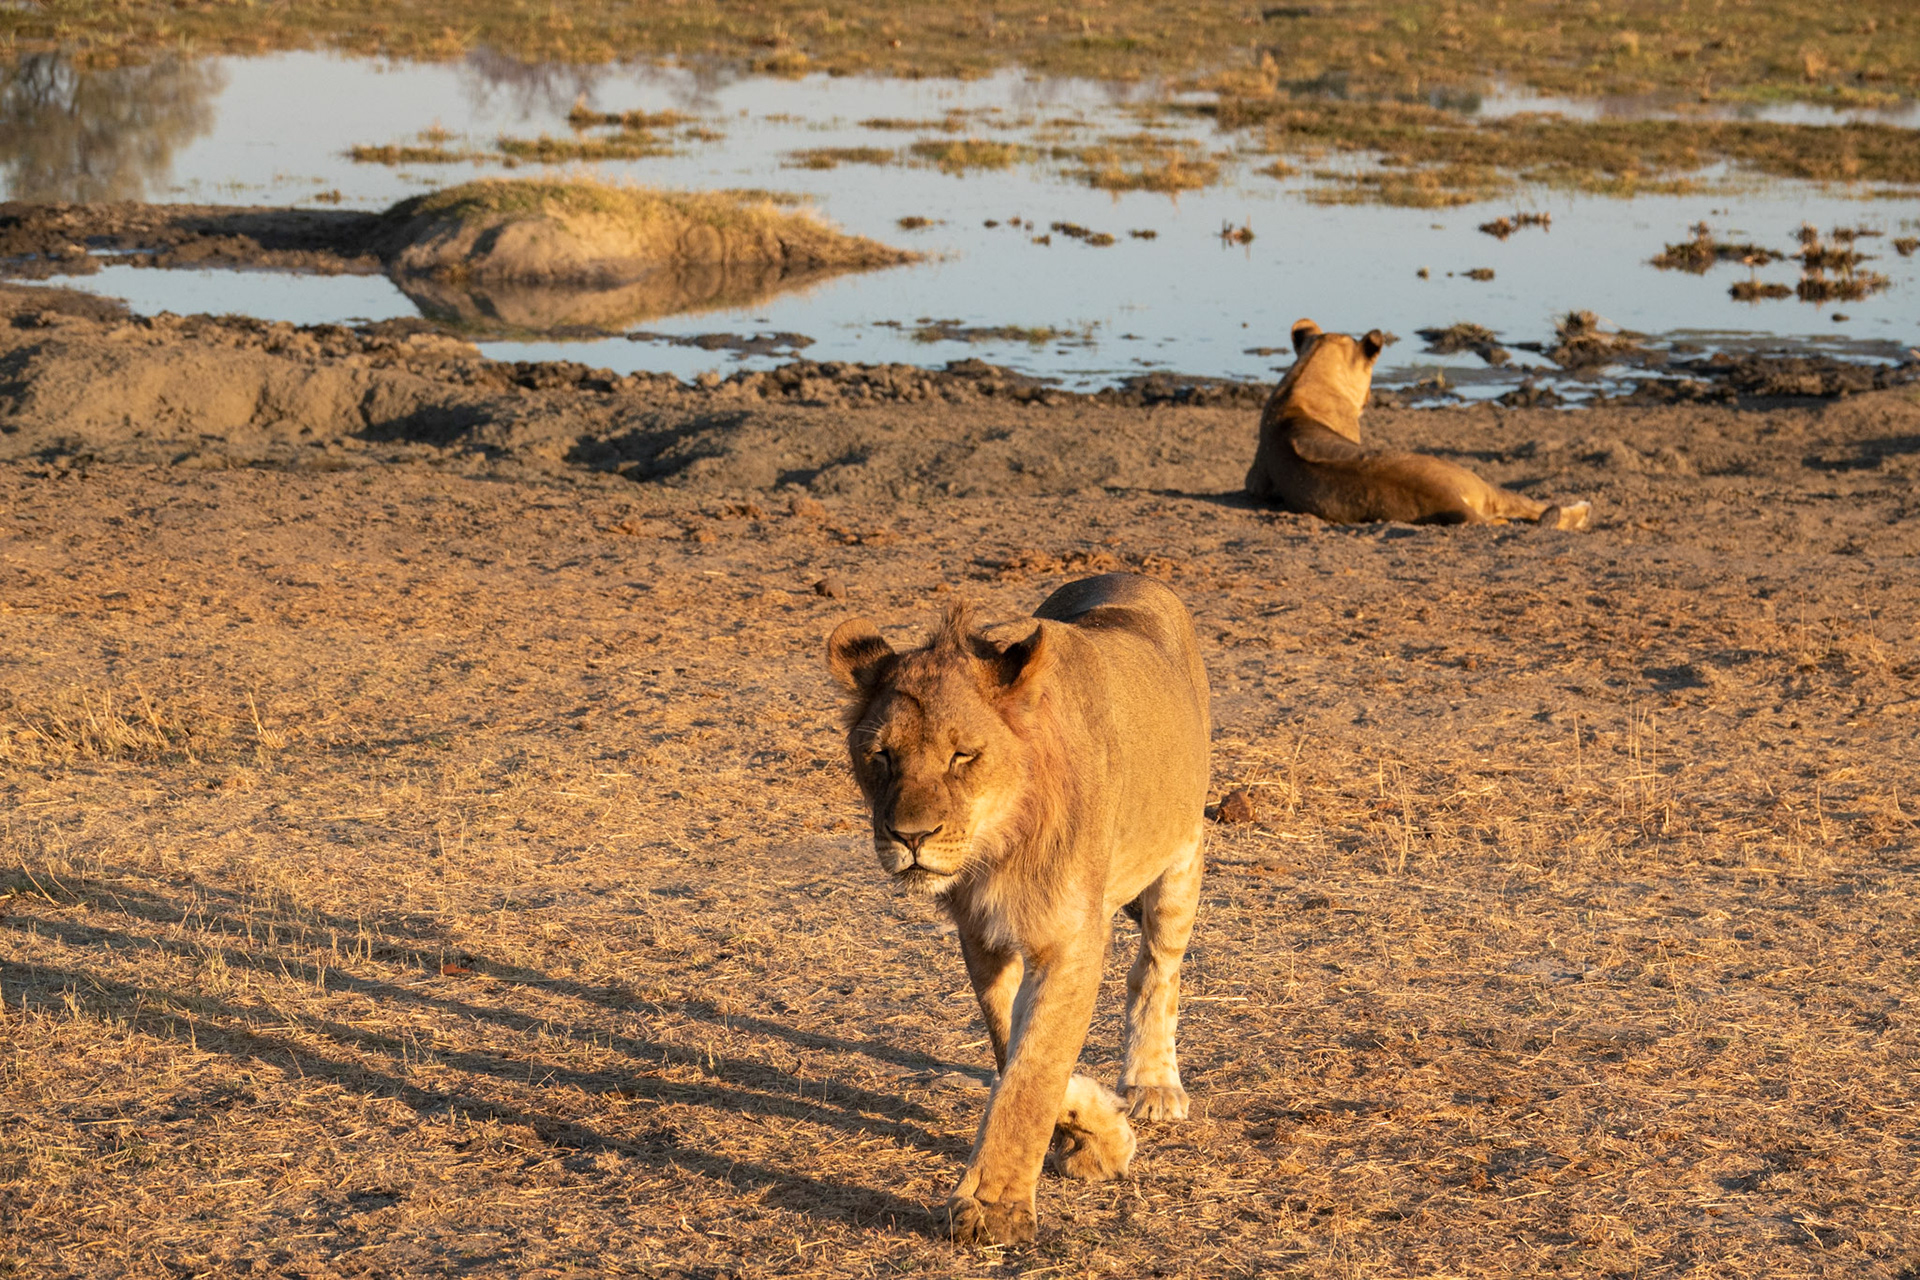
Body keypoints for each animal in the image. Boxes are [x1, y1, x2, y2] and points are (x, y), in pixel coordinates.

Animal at [826, 573, 1211, 1247]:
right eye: (882, 756)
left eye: (963, 756)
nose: (910, 837)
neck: (998, 845)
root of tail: (1130, 575)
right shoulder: (981, 938)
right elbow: (1014, 1046)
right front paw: (1097, 1136)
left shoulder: (1072, 939)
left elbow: (1034, 1070)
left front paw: (994, 1208)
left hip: (1182, 850)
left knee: (1157, 970)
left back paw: (1152, 1084)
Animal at [1246, 318, 1593, 529]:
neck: (1303, 379)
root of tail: (1447, 498)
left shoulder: (1256, 482)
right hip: (1478, 480)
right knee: (1535, 508)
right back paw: (1583, 509)